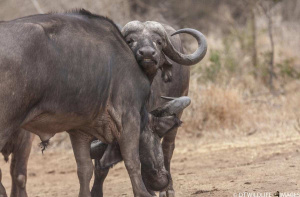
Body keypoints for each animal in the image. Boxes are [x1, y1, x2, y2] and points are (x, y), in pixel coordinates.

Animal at [0, 9, 188, 197]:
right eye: (155, 133)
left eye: (159, 42)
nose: (161, 181)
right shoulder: (129, 118)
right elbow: (132, 161)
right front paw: (143, 192)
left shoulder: (78, 131)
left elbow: (84, 169)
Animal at [91, 21, 207, 197]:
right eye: (130, 40)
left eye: (158, 42)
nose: (147, 53)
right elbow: (98, 163)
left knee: (167, 149)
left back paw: (168, 189)